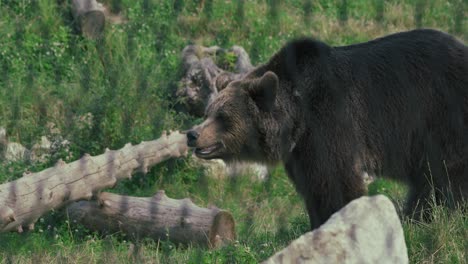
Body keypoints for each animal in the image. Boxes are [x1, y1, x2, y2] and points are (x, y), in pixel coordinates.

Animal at [187, 29, 468, 229]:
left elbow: (335, 180)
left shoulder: (329, 121)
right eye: (208, 112)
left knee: (445, 173)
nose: (192, 134)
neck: (296, 116)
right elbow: (314, 186)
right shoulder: (301, 151)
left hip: (440, 114)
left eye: (222, 117)